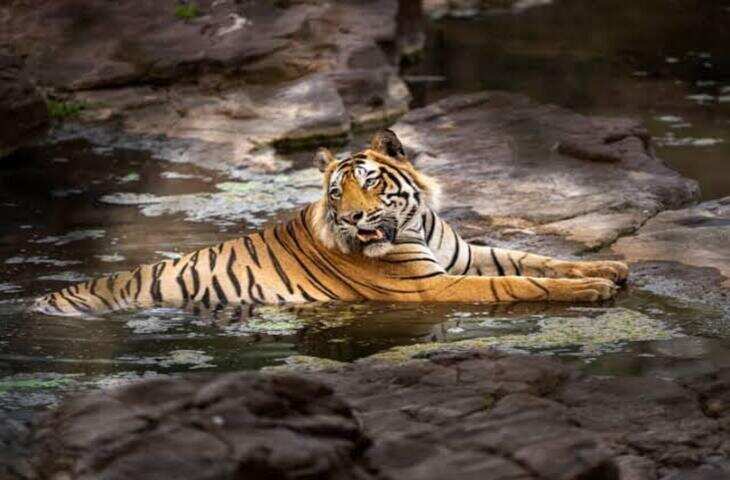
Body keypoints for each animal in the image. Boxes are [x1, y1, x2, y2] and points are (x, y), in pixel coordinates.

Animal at [31, 129, 628, 316]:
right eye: (336, 192)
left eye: (370, 183)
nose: (352, 217)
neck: (416, 222)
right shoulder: (431, 286)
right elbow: (518, 282)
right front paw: (594, 289)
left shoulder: (460, 255)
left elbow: (530, 257)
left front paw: (611, 267)